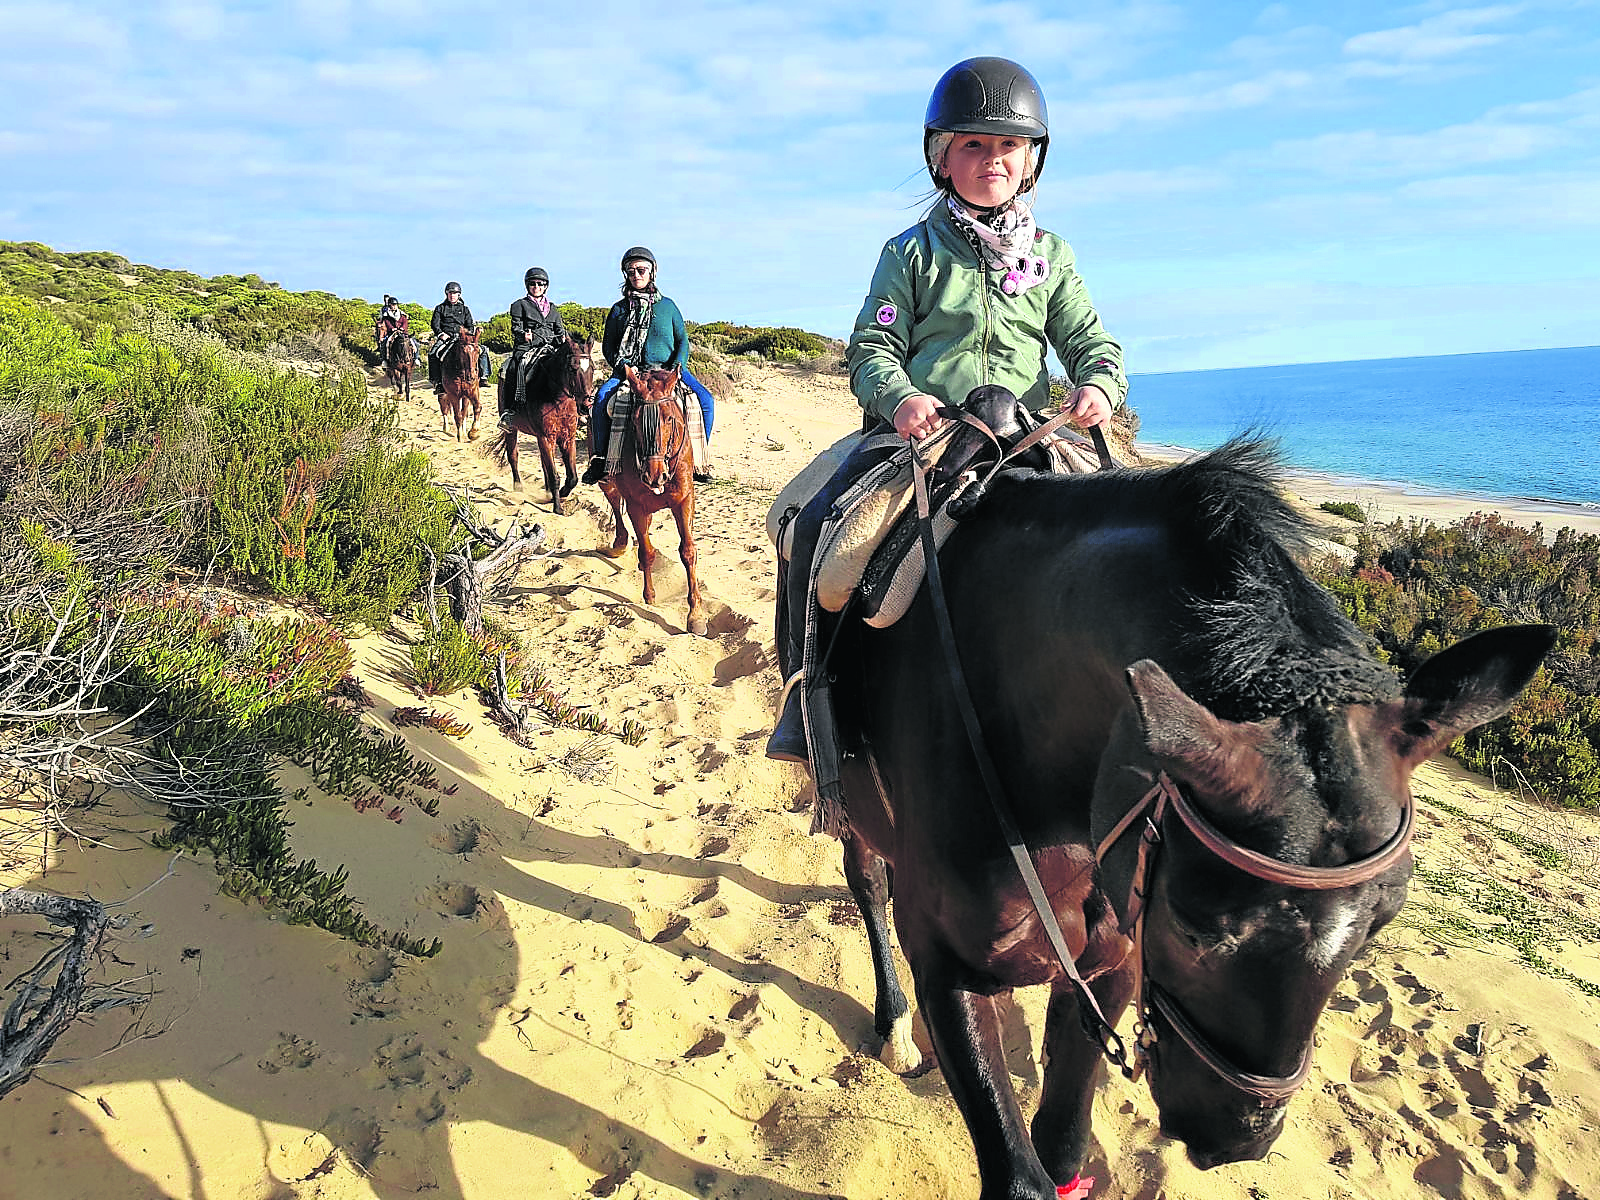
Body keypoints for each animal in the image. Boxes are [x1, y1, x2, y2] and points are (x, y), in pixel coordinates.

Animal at [486, 334, 595, 512]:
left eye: (592, 368)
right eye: (572, 368)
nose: (586, 406)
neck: (558, 397)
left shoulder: (567, 438)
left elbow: (572, 477)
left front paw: (561, 493)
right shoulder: (546, 437)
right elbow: (554, 475)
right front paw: (557, 508)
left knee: (543, 464)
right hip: (512, 430)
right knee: (513, 456)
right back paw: (518, 487)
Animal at [598, 364, 704, 640]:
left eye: (669, 418)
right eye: (634, 421)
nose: (654, 475)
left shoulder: (684, 500)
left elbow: (688, 552)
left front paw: (696, 616)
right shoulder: (636, 504)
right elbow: (646, 551)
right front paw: (649, 595)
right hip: (608, 480)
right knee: (613, 498)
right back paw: (619, 543)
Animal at [812, 432, 1548, 1196]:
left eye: (1379, 927)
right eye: (1194, 927)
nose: (1234, 1140)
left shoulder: (1108, 961)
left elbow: (1064, 1147)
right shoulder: (944, 963)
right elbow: (1020, 1173)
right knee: (867, 880)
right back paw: (894, 1028)